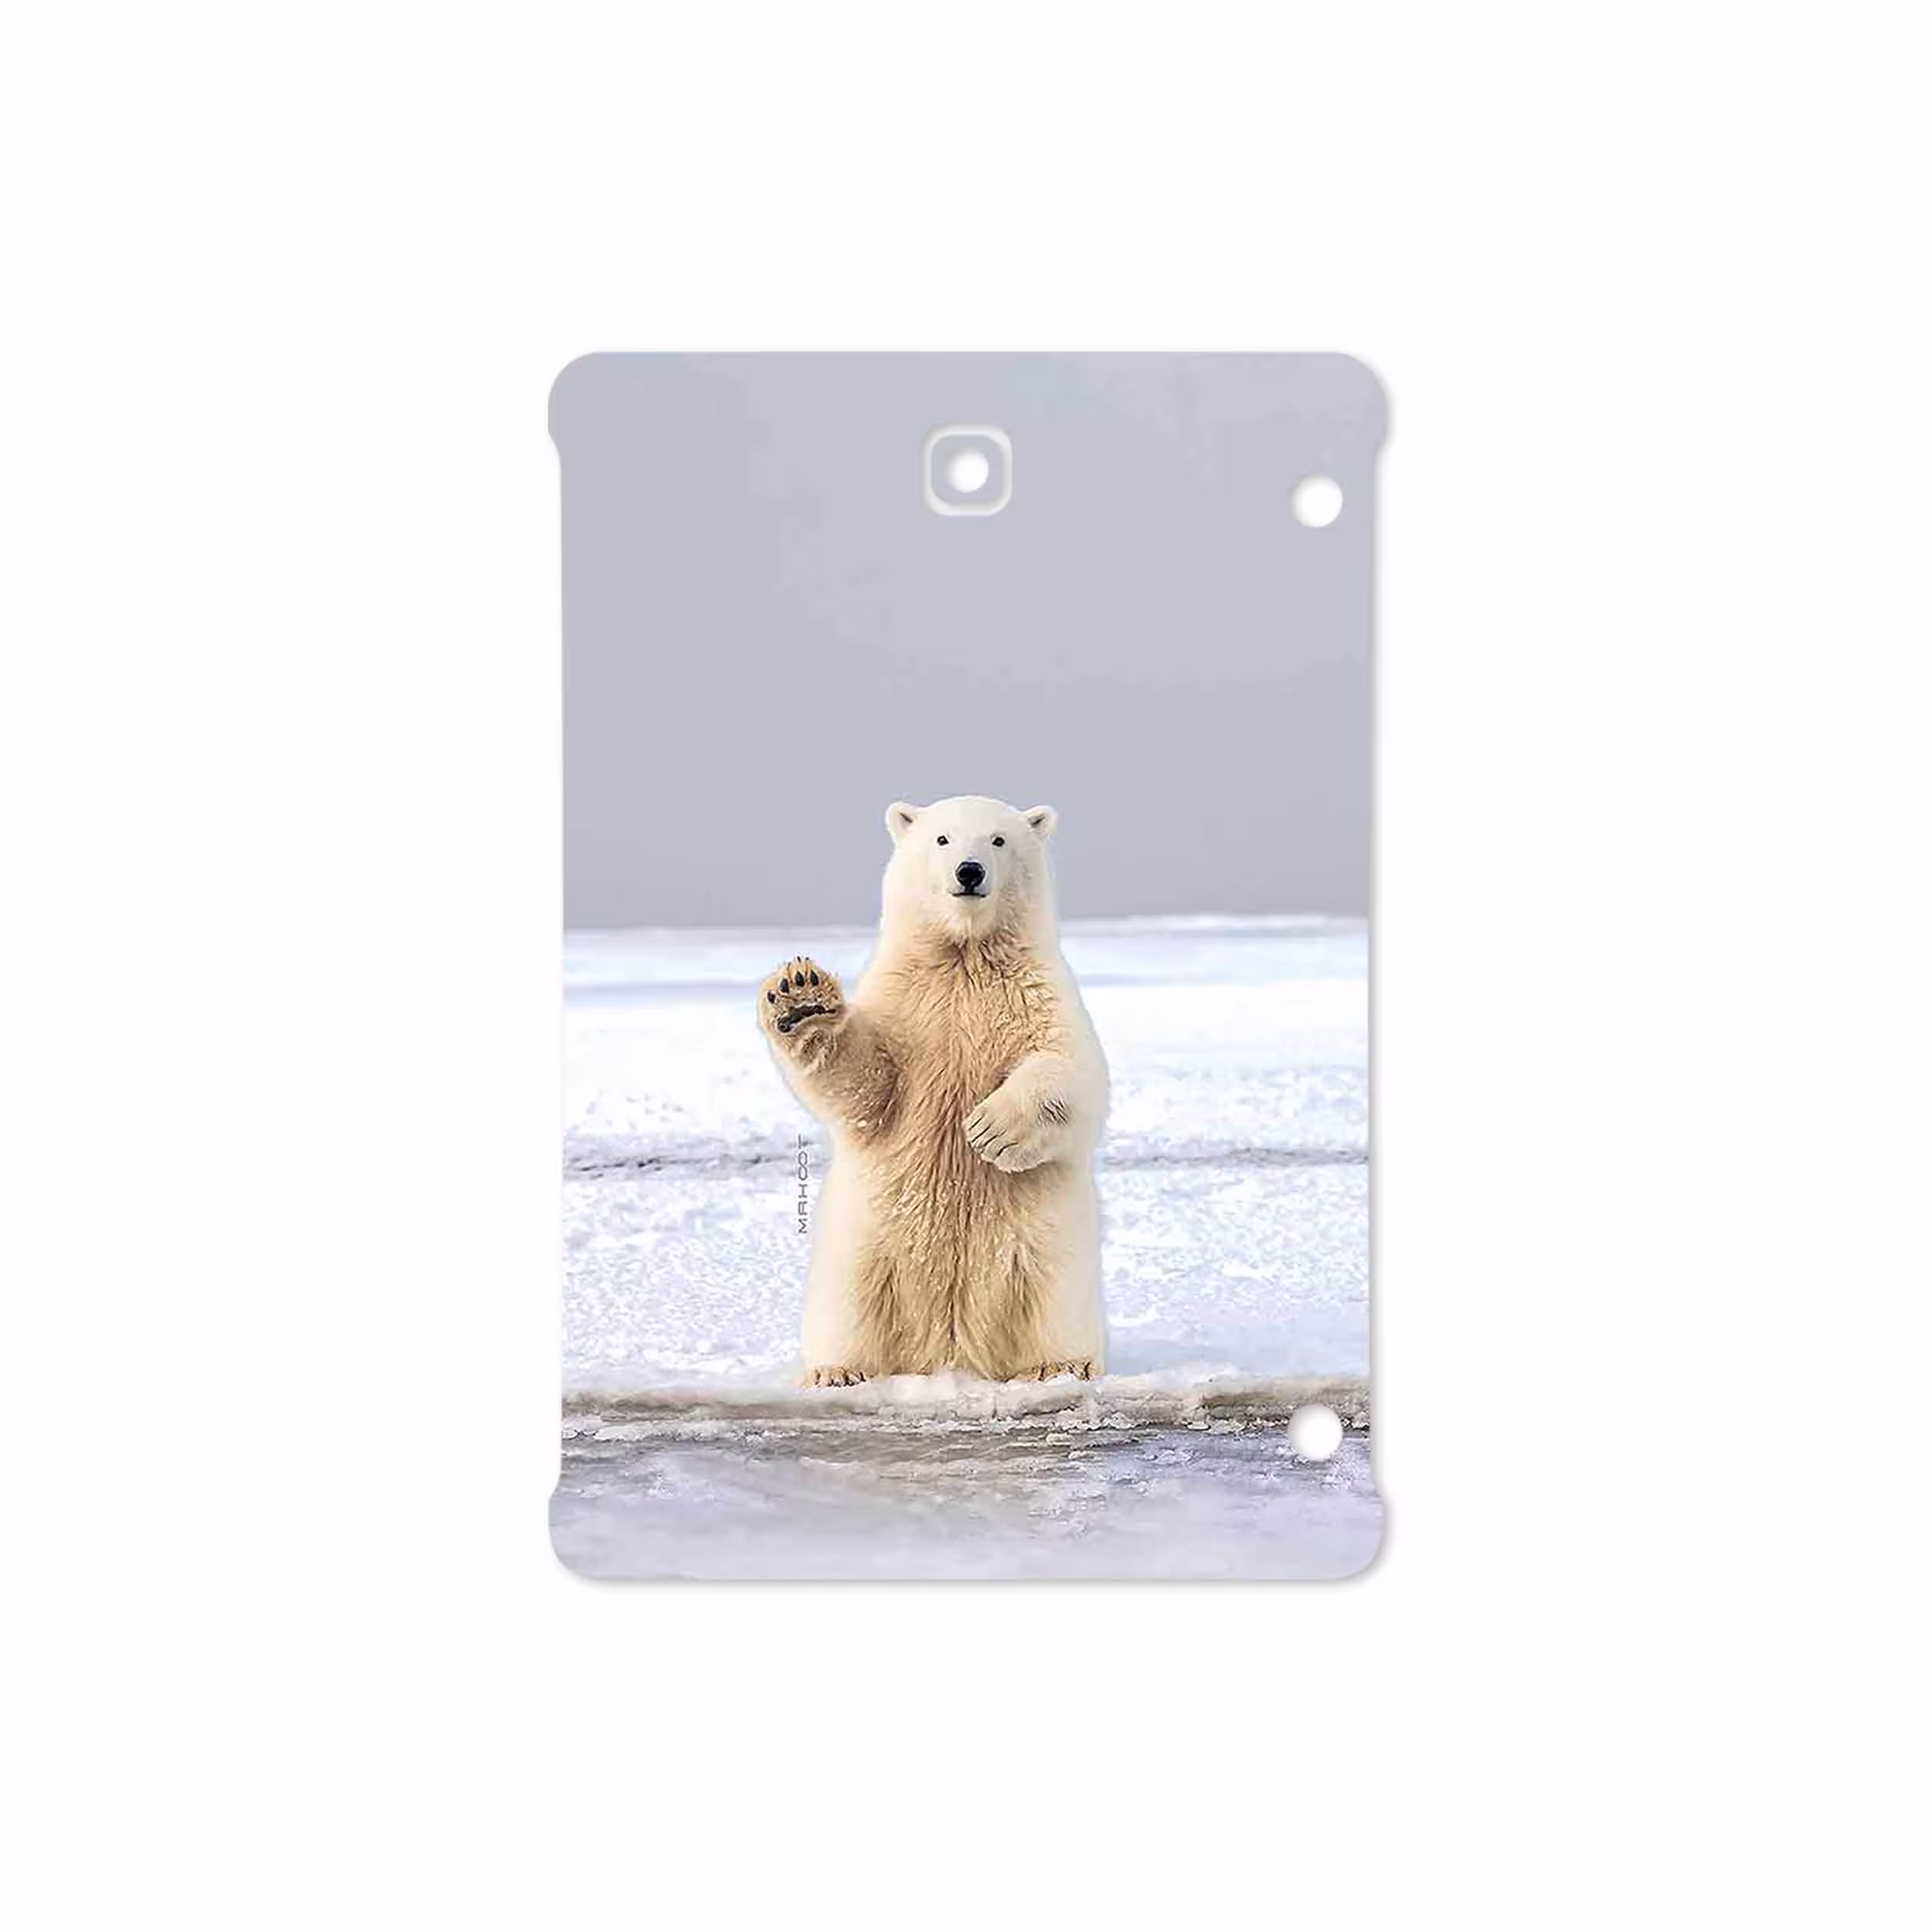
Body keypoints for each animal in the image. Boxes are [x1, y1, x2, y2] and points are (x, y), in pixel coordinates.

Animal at [758, 795, 1109, 1386]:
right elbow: (867, 1084)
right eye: (942, 839)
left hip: (1049, 1248)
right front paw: (800, 999)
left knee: (1054, 1297)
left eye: (998, 840)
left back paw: (1061, 1365)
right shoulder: (905, 1004)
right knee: (849, 1306)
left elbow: (1073, 1071)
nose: (969, 872)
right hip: (863, 1247)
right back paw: (837, 1371)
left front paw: (990, 1129)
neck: (964, 956)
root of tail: (950, 1351)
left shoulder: (1040, 994)